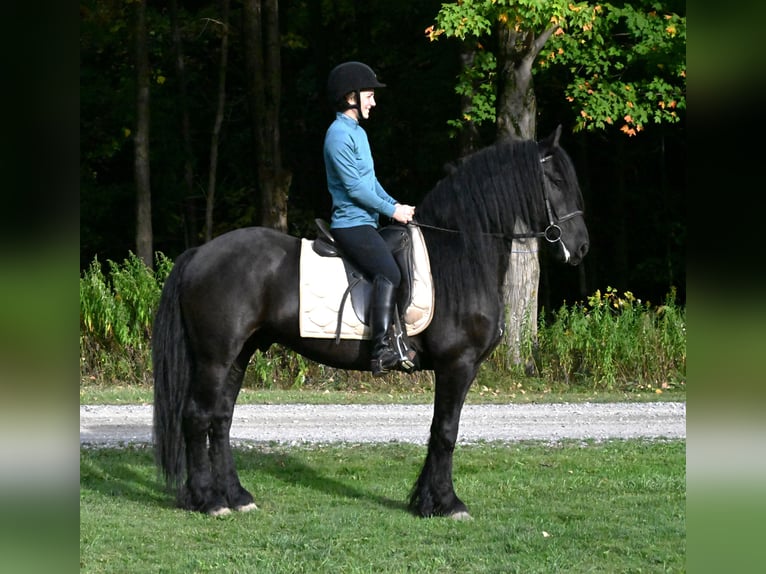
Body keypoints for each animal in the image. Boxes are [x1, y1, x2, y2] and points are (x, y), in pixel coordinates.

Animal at [152, 125, 589, 518]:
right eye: (555, 179)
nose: (581, 247)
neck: (458, 256)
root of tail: (200, 254)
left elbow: (438, 430)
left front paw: (425, 502)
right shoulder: (458, 364)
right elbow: (446, 432)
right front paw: (448, 504)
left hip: (240, 353)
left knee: (221, 419)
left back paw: (237, 496)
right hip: (215, 356)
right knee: (198, 416)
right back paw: (208, 501)